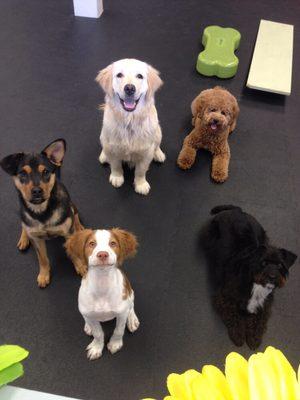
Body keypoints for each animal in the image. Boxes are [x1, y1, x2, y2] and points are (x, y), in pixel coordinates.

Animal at [0, 140, 84, 288]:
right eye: (22, 174)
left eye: (45, 172)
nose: (37, 191)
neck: (41, 211)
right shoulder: (37, 240)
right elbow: (43, 259)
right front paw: (44, 275)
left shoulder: (68, 232)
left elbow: (73, 251)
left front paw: (80, 266)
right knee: (24, 226)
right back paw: (24, 238)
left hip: (72, 206)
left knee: (75, 216)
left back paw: (79, 227)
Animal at [65, 228, 139, 360]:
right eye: (92, 244)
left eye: (113, 243)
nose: (103, 254)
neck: (102, 285)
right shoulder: (89, 313)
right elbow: (98, 333)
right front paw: (96, 348)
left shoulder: (121, 313)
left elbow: (119, 330)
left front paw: (115, 344)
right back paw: (88, 326)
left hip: (130, 292)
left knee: (131, 306)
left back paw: (132, 320)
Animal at [96, 59, 165, 195]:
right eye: (119, 75)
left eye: (140, 76)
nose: (129, 88)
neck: (129, 120)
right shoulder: (112, 148)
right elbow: (115, 164)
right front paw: (117, 177)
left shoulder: (146, 152)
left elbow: (141, 171)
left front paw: (141, 184)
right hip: (103, 135)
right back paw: (103, 155)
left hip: (158, 132)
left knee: (157, 144)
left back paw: (159, 154)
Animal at [203, 205, 296, 348]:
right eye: (263, 263)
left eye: (280, 265)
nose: (272, 276)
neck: (256, 283)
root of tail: (237, 210)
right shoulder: (223, 298)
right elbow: (234, 317)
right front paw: (238, 335)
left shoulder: (265, 305)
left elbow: (259, 321)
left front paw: (254, 339)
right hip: (210, 237)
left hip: (263, 235)